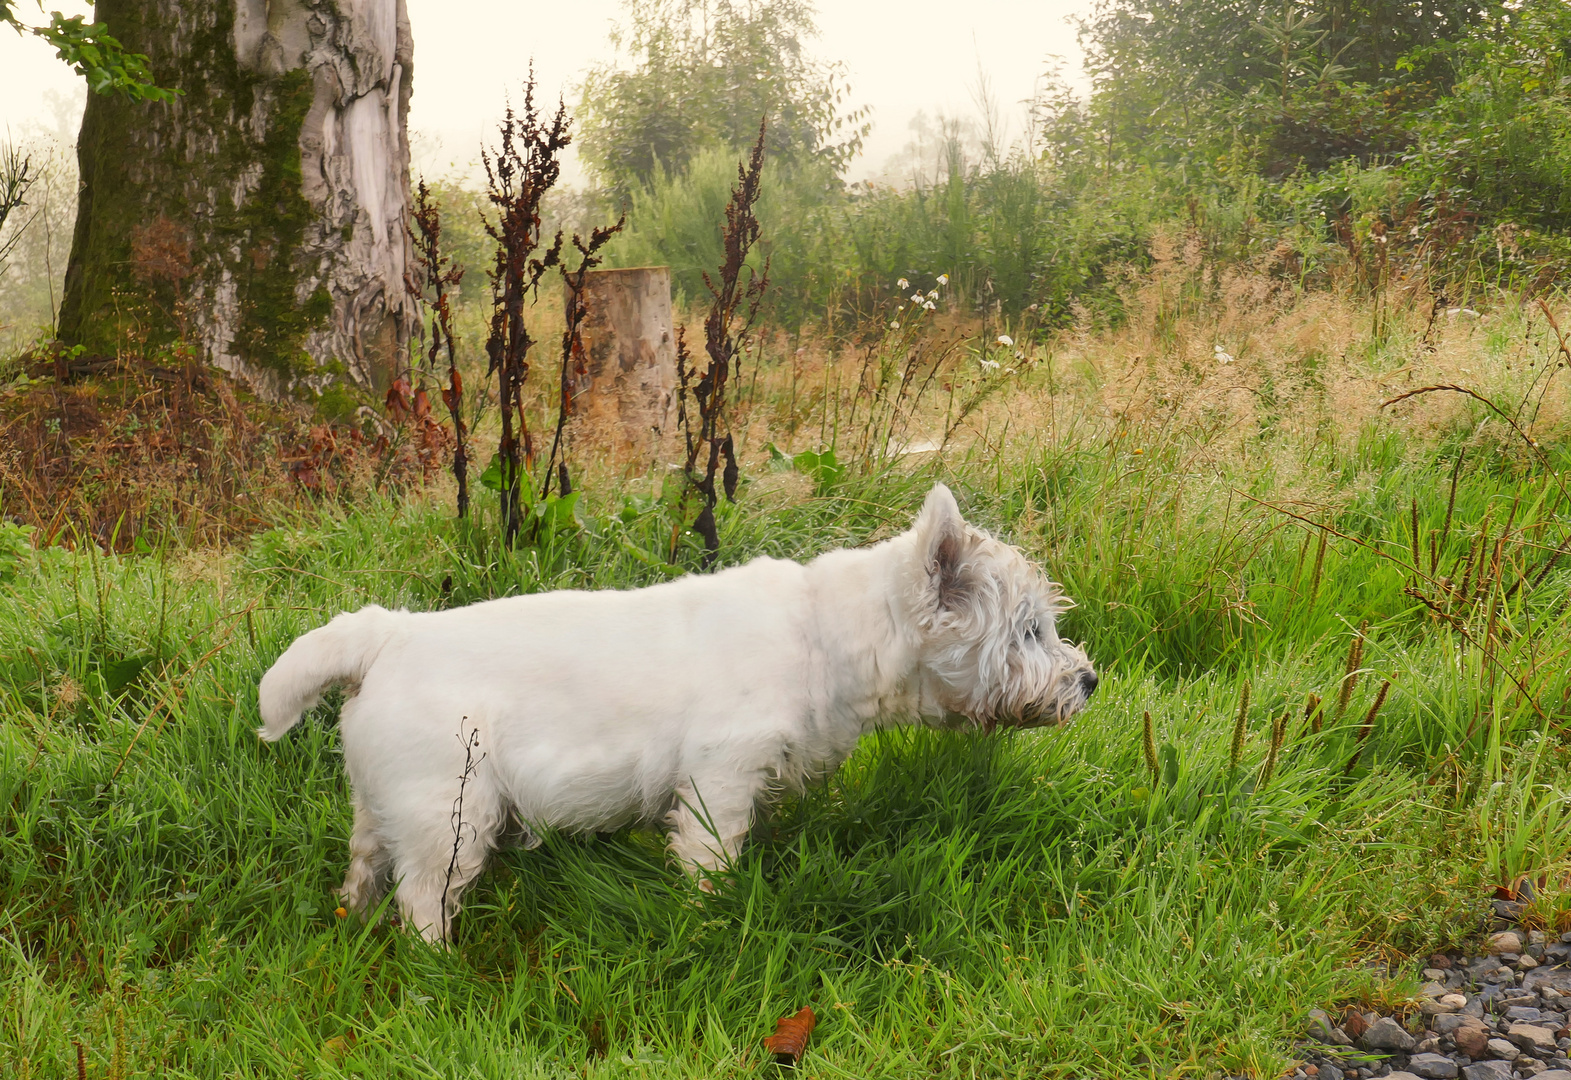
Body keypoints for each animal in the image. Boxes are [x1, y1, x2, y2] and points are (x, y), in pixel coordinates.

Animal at [257, 487, 1093, 943]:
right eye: (1026, 631)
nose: (1087, 680)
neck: (826, 637)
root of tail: (385, 635)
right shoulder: (717, 778)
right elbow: (709, 860)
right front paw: (711, 920)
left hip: (386, 799)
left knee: (366, 864)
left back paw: (351, 918)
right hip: (449, 812)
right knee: (423, 896)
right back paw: (439, 967)